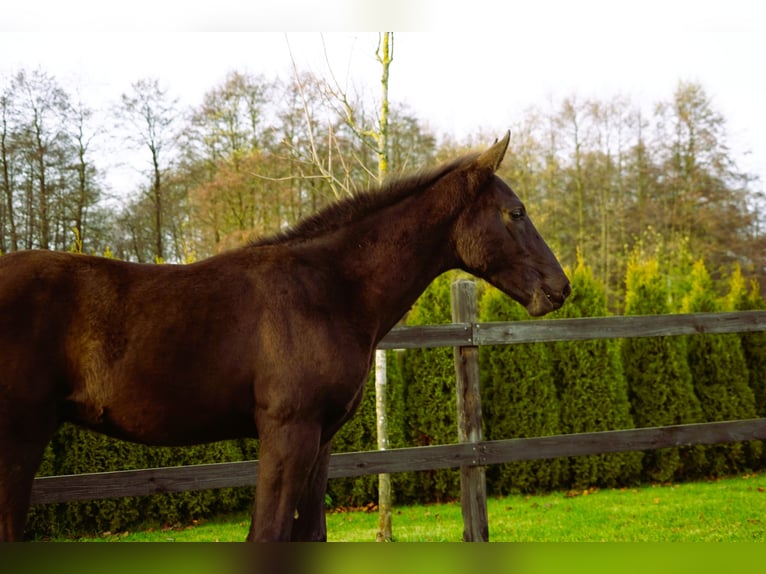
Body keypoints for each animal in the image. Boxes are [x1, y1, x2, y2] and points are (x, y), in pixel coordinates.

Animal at [0, 132, 570, 541]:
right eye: (516, 212)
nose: (559, 288)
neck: (327, 289)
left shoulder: (321, 438)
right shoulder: (287, 432)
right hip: (20, 437)